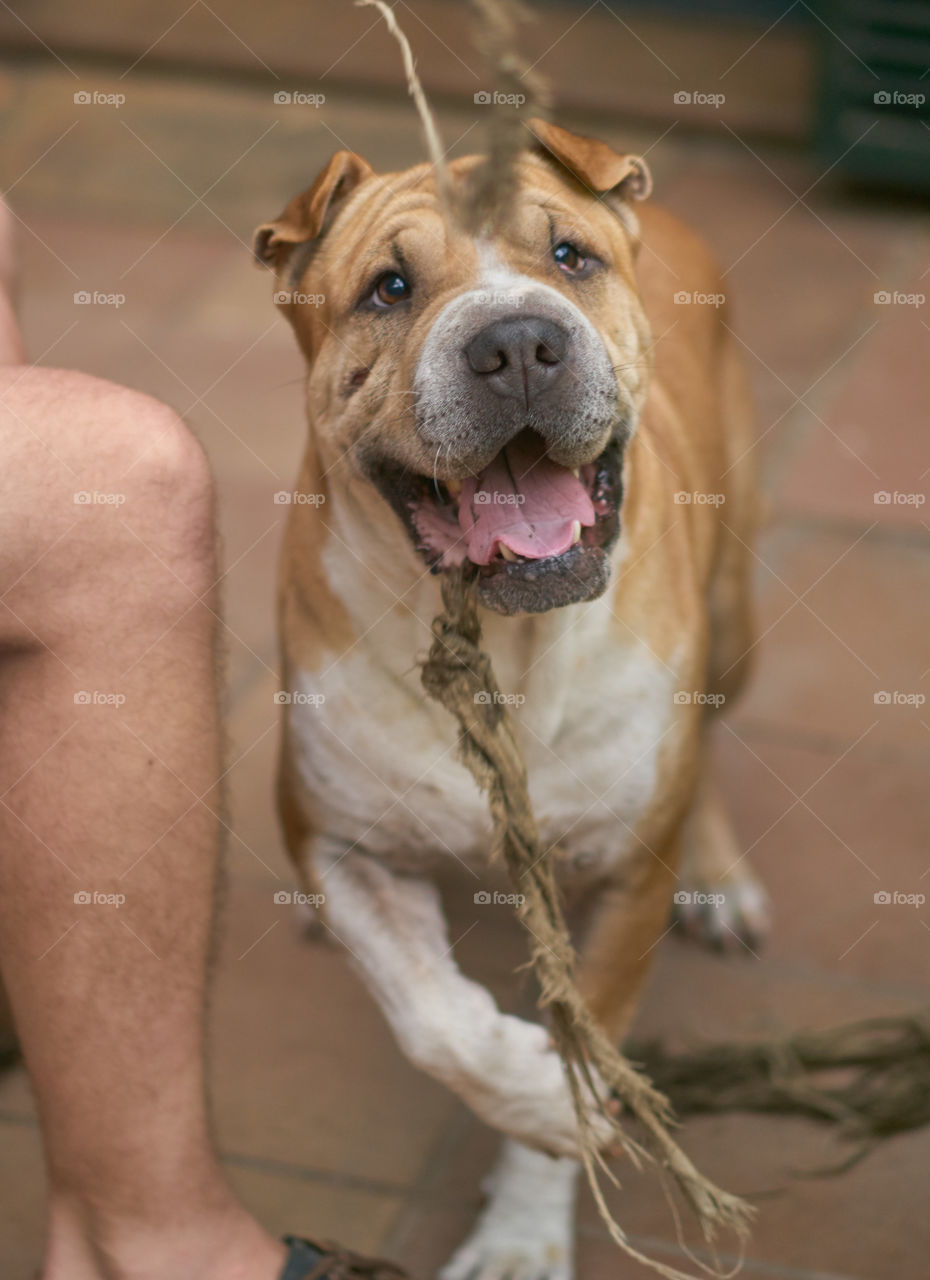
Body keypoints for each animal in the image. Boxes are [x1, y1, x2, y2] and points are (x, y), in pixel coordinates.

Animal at [255, 122, 772, 1280]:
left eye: (569, 256)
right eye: (390, 287)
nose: (521, 343)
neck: (506, 646)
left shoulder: (629, 877)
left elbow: (586, 1051)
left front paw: (527, 1221)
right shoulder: (341, 838)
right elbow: (436, 1018)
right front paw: (534, 1088)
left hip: (735, 619)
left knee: (712, 741)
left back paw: (719, 875)